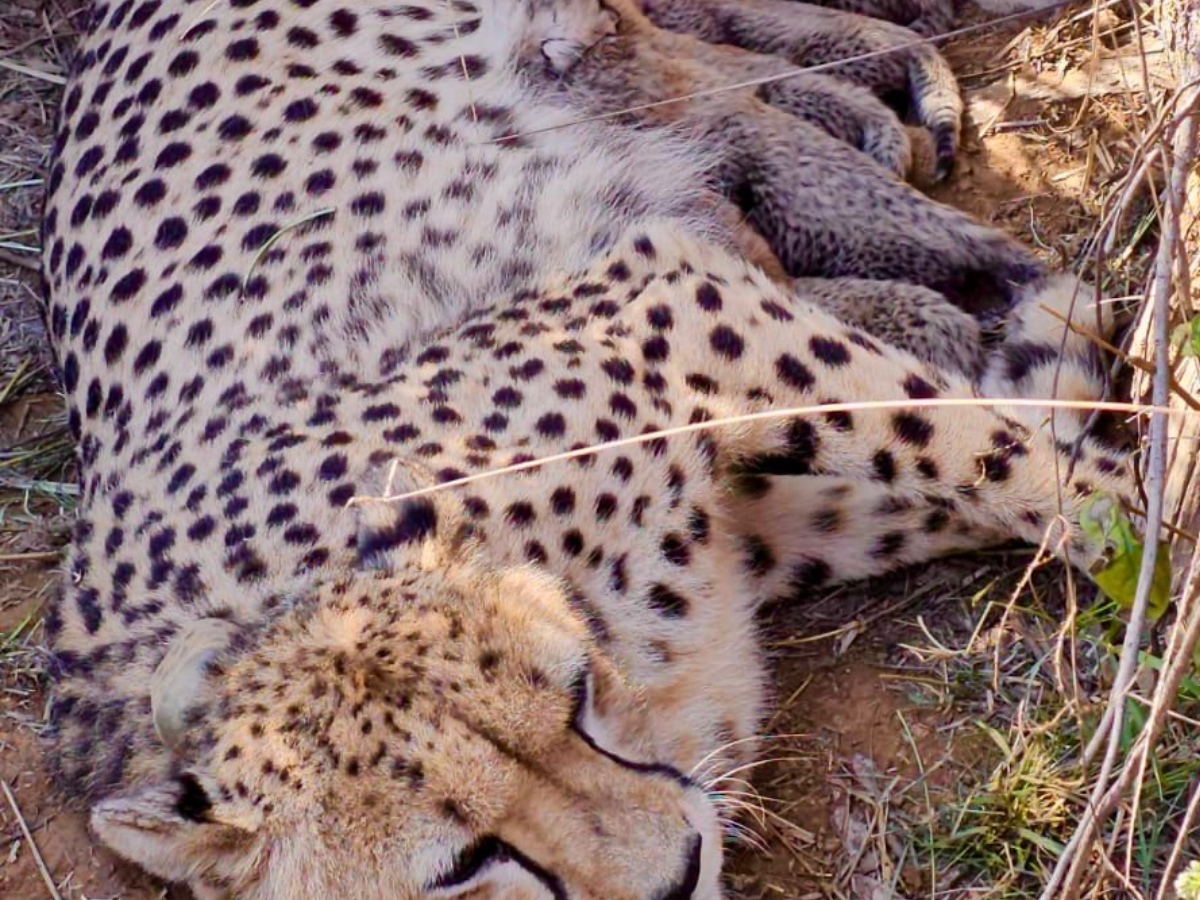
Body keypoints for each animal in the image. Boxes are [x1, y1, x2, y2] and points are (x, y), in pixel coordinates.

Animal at [40, 0, 1141, 898]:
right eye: (463, 863)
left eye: (572, 697)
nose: (679, 873)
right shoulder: (762, 505)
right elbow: (961, 461)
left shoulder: (671, 299)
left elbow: (993, 453)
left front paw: (1150, 539)